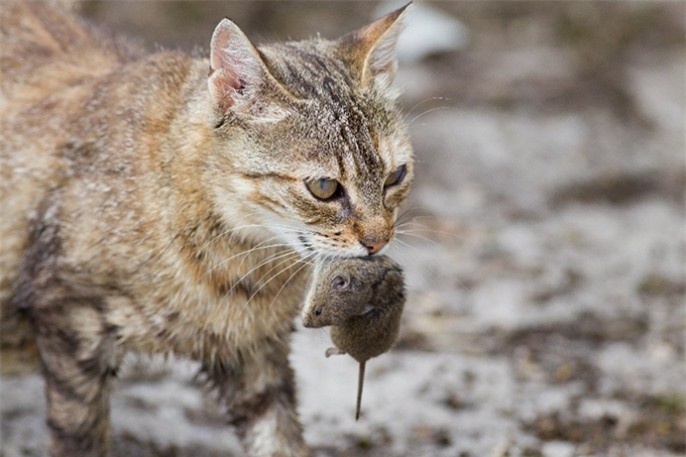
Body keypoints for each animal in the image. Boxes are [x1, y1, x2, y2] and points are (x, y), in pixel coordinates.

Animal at [1, 1, 414, 454]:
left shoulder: (254, 352)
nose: (378, 240)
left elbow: (280, 438)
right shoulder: (71, 320)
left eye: (396, 176)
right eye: (324, 187)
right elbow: (80, 437)